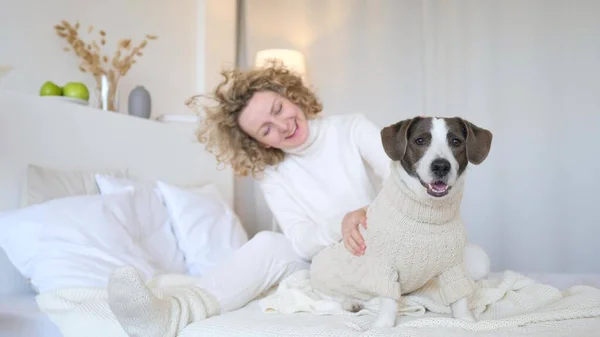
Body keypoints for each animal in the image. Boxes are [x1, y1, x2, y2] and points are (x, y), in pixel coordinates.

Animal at [310, 116, 492, 328]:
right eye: (420, 141)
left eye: (456, 142)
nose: (441, 166)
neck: (427, 215)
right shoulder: (385, 267)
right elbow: (388, 302)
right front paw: (382, 326)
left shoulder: (453, 266)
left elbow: (459, 297)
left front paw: (466, 322)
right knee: (331, 297)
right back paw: (350, 303)